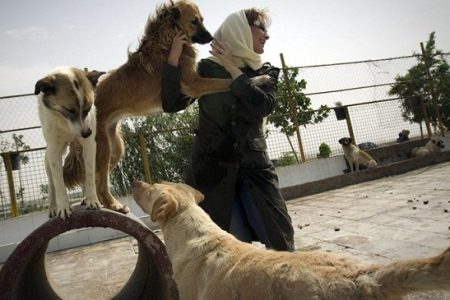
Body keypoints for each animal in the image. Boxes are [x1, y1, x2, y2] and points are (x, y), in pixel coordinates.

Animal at [34, 67, 103, 219]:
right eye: (69, 110)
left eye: (88, 108)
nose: (87, 133)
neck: (67, 125)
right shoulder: (54, 150)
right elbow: (58, 182)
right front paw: (63, 207)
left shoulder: (89, 146)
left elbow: (90, 175)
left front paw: (93, 200)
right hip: (48, 159)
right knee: (51, 183)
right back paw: (53, 207)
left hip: (79, 152)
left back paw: (85, 197)